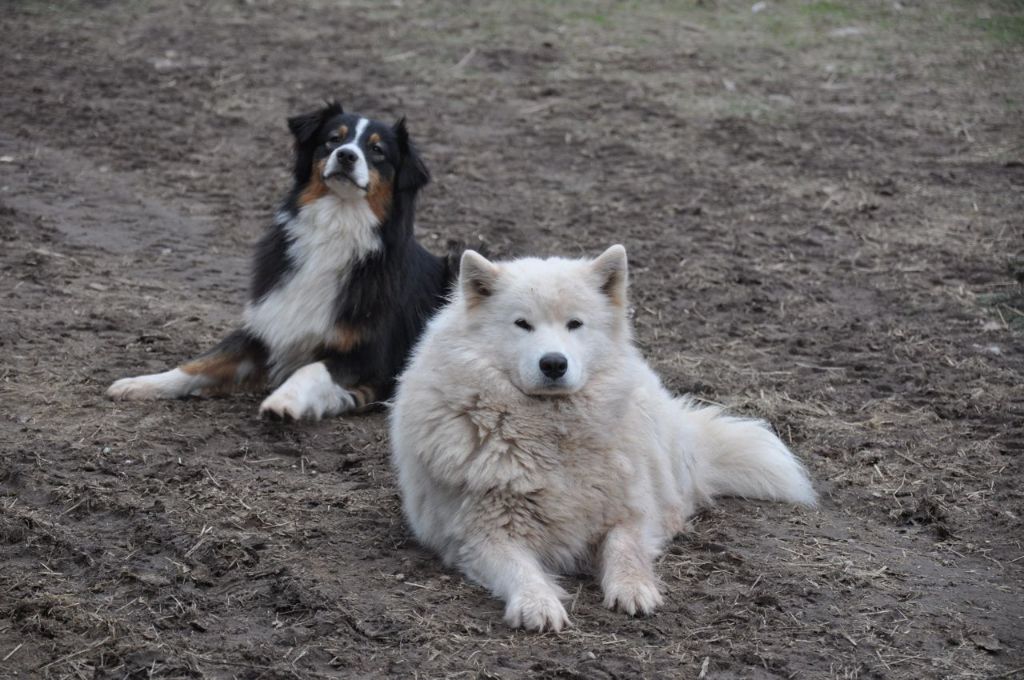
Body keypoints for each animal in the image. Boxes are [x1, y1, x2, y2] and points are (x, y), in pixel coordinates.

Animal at [109, 102, 460, 419]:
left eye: (377, 150)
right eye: (333, 139)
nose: (346, 155)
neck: (336, 225)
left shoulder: (369, 357)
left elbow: (312, 369)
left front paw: (284, 401)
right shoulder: (267, 327)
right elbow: (202, 362)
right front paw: (141, 383)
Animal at [389, 245, 815, 630]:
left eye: (575, 324)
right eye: (522, 324)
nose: (554, 363)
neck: (552, 431)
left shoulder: (627, 512)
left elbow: (625, 549)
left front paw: (634, 589)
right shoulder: (483, 533)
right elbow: (521, 570)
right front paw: (537, 604)